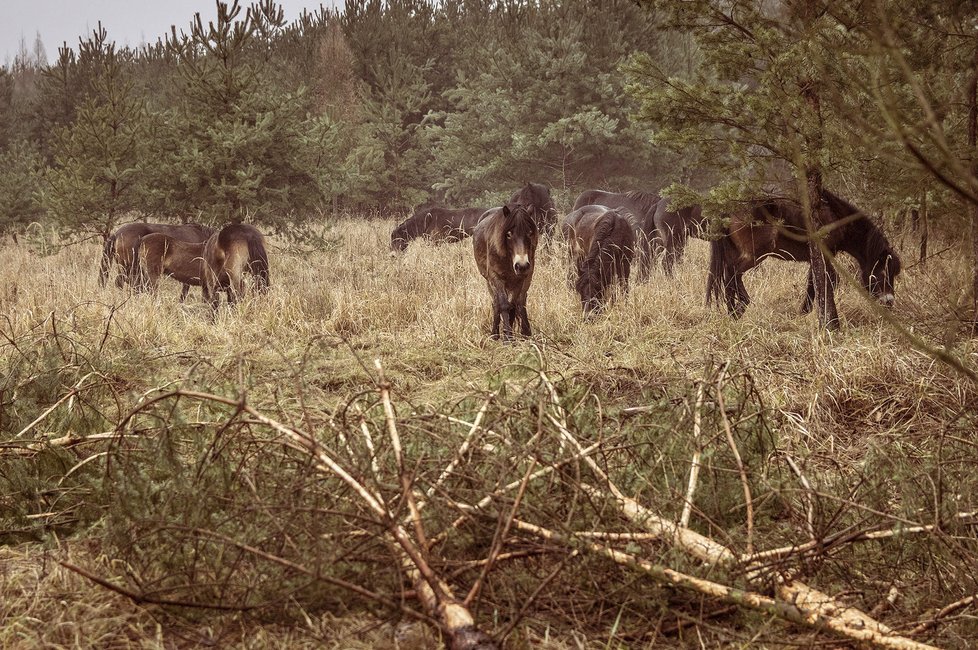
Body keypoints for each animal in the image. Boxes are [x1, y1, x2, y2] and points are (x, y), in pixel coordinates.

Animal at [470, 204, 536, 340]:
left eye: (530, 233)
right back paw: (495, 334)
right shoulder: (496, 277)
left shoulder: (522, 278)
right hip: (490, 282)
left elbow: (516, 303)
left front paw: (522, 334)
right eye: (508, 234)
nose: (521, 266)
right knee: (496, 303)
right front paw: (507, 337)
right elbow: (503, 305)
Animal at [704, 189, 904, 322]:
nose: (889, 302)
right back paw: (740, 308)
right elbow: (827, 281)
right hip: (753, 256)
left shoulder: (815, 257)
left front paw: (803, 312)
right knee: (732, 273)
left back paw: (732, 310)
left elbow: (812, 283)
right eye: (883, 272)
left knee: (728, 276)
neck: (835, 215)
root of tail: (728, 209)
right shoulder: (825, 254)